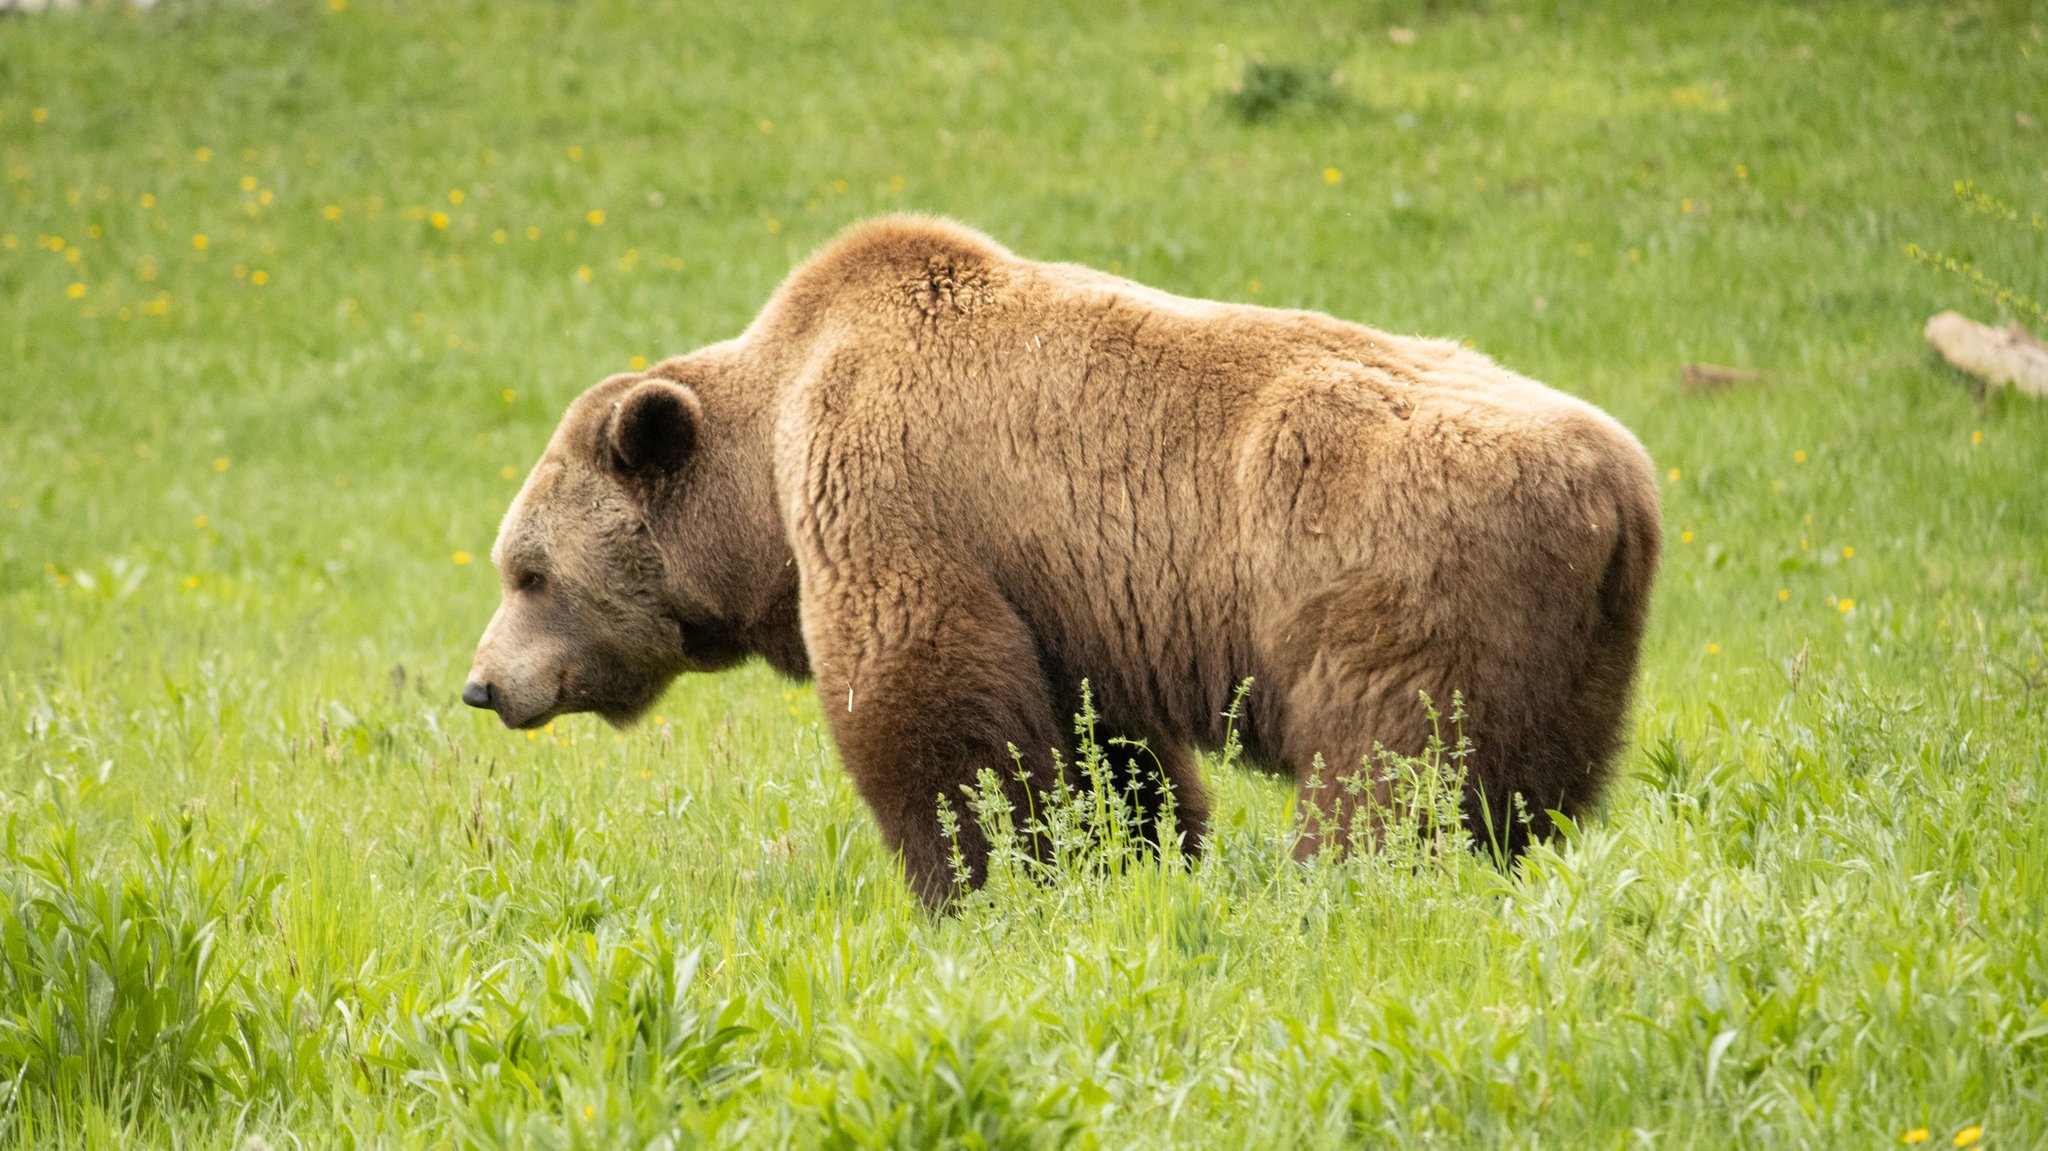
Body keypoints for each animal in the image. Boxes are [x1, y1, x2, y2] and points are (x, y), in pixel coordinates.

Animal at [456, 212, 1654, 905]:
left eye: (528, 572)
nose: (482, 684)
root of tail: (1620, 488)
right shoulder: (1070, 591)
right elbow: (1101, 744)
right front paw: (1130, 855)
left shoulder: (895, 490)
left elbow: (931, 704)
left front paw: (976, 882)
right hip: (1571, 653)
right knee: (1528, 788)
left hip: (1395, 576)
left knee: (1391, 768)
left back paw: (1345, 884)